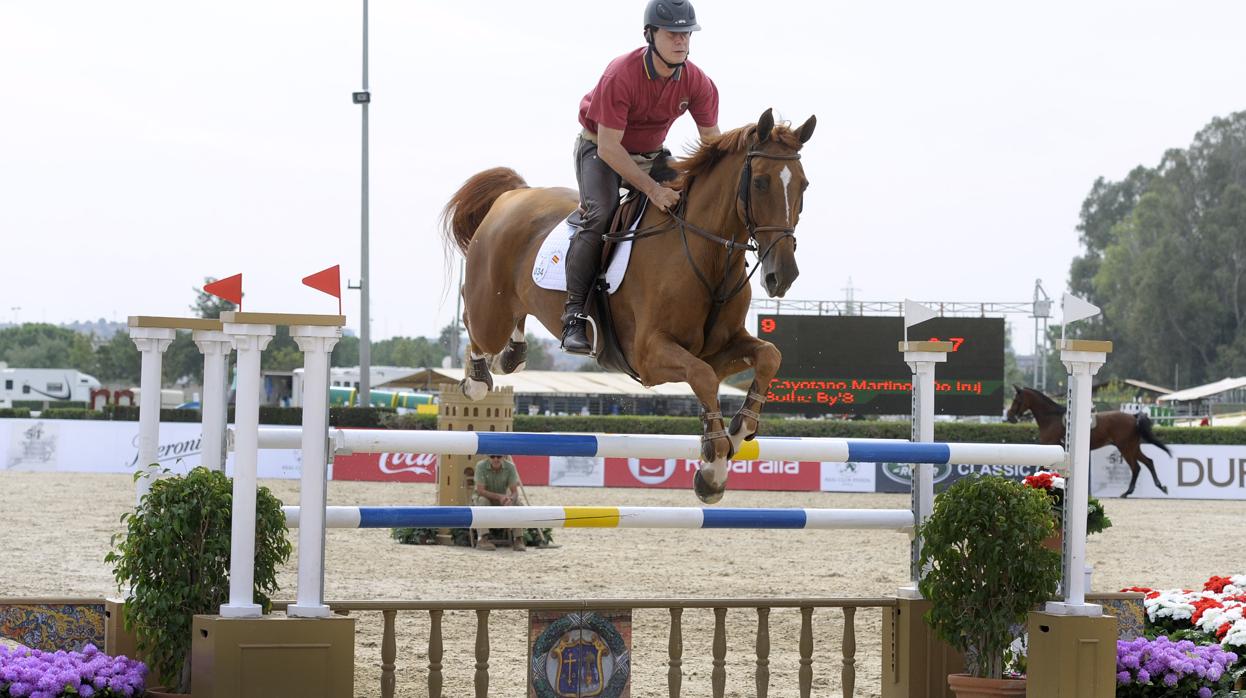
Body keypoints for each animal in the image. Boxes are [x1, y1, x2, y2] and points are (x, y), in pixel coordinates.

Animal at [441, 107, 817, 501]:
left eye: (803, 185)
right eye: (759, 182)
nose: (782, 276)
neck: (707, 256)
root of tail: (514, 195)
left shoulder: (720, 350)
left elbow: (768, 356)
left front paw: (739, 430)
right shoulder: (650, 355)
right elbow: (702, 376)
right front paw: (713, 469)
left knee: (511, 331)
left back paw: (512, 355)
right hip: (490, 310)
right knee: (472, 321)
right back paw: (477, 378)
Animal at [1001, 386, 1166, 496]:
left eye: (1016, 400)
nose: (1009, 417)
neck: (1050, 418)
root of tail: (1133, 416)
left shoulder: (1050, 448)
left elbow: (1041, 468)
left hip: (1126, 448)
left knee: (1136, 467)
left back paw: (1127, 492)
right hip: (1132, 447)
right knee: (1148, 462)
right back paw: (1160, 487)